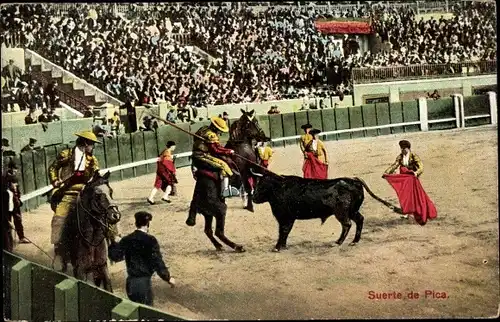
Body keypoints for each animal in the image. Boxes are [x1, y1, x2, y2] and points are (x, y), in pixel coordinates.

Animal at [252, 172, 400, 250]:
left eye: (261, 186)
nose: (253, 198)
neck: (278, 188)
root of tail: (354, 181)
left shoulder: (285, 217)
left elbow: (283, 231)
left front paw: (277, 247)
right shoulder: (287, 218)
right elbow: (285, 232)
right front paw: (282, 246)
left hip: (342, 212)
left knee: (347, 224)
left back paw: (338, 242)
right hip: (352, 211)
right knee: (359, 220)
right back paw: (354, 241)